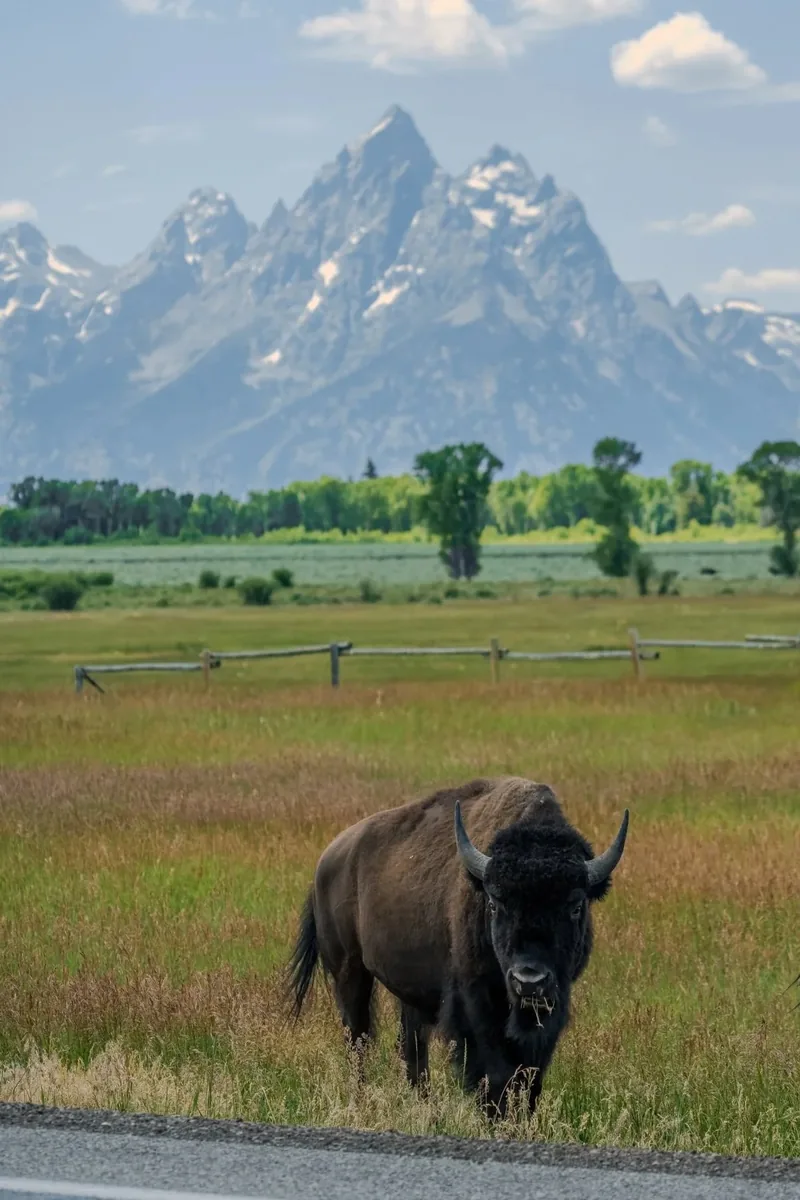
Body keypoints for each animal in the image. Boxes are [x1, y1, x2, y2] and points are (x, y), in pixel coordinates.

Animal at [289, 776, 628, 1114]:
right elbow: (493, 1070)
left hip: (408, 992)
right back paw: (361, 1100)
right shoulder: (475, 1003)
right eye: (494, 903)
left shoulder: (551, 1004)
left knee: (410, 1045)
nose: (529, 980)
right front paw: (495, 1114)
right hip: (349, 973)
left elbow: (531, 1072)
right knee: (358, 1038)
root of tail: (326, 861)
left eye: (575, 906)